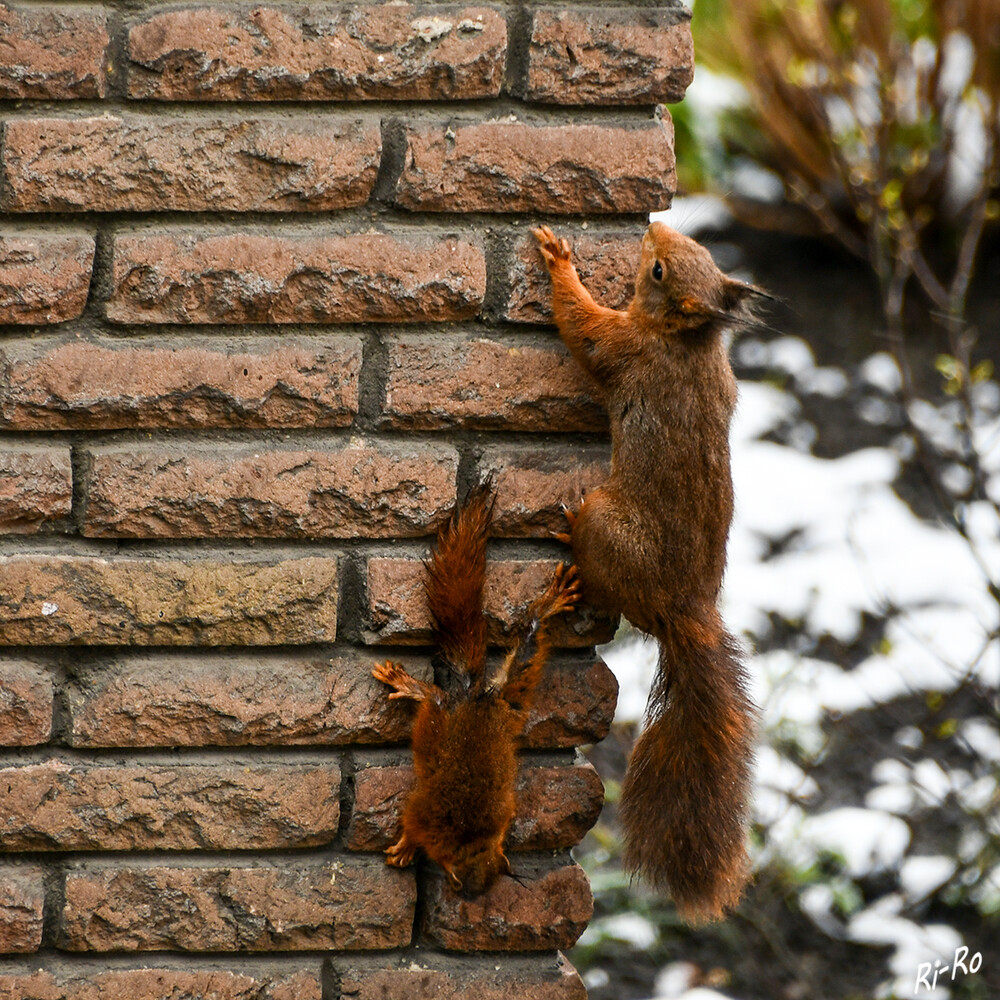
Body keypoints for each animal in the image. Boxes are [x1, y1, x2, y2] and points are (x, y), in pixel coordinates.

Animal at [374, 480, 580, 896]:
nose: (466, 894)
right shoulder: (426, 815)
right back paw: (410, 686)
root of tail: (476, 700)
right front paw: (405, 848)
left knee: (526, 643)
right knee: (437, 696)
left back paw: (548, 606)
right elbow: (412, 824)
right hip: (444, 716)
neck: (472, 840)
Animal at [536, 223, 760, 924]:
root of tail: (681, 607)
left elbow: (581, 328)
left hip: (608, 523)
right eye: (699, 253)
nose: (653, 228)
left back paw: (568, 543)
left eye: (658, 271)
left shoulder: (621, 348)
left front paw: (559, 261)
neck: (685, 342)